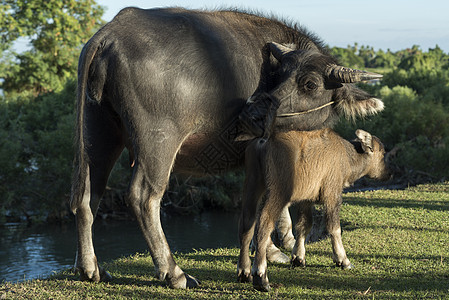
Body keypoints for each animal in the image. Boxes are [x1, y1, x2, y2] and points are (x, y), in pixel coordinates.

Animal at [238, 128, 388, 290]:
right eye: (383, 153)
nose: (389, 173)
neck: (348, 157)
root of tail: (263, 142)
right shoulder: (332, 194)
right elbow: (334, 228)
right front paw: (343, 260)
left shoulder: (306, 199)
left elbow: (304, 225)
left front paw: (298, 258)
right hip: (278, 192)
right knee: (263, 225)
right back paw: (261, 278)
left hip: (252, 186)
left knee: (246, 225)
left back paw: (244, 272)